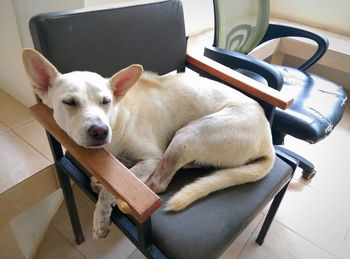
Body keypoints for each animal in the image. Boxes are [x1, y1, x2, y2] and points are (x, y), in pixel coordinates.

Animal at [21, 48, 274, 240]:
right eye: (70, 102)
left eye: (106, 101)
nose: (100, 131)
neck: (117, 120)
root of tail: (268, 141)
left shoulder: (150, 158)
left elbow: (117, 186)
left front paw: (101, 215)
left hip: (187, 134)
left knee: (159, 183)